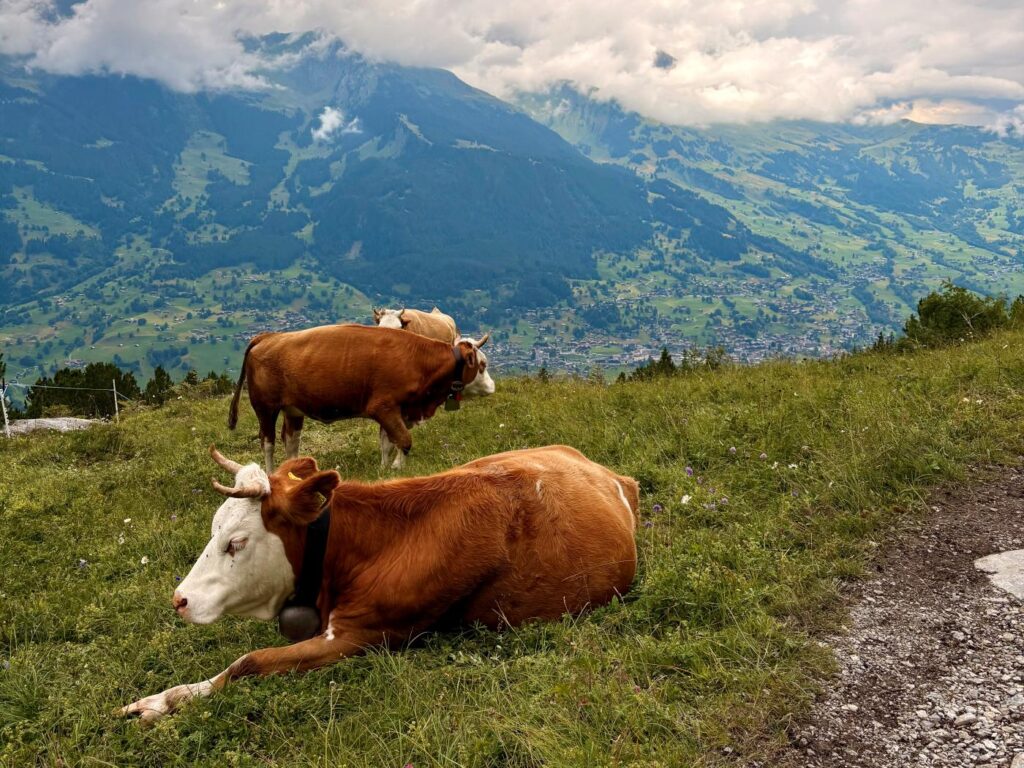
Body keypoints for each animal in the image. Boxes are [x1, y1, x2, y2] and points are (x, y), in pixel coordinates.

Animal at [118, 444, 639, 724]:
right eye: (214, 528)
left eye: (237, 542)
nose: (180, 599)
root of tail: (606, 470)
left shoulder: (360, 635)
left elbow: (249, 662)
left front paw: (162, 702)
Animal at [227, 324, 494, 471]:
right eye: (482, 365)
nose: (492, 387)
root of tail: (268, 336)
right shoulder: (383, 406)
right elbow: (404, 440)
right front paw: (398, 467)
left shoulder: (398, 410)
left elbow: (388, 442)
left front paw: (385, 468)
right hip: (265, 408)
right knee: (268, 442)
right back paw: (272, 474)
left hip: (293, 410)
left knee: (291, 440)